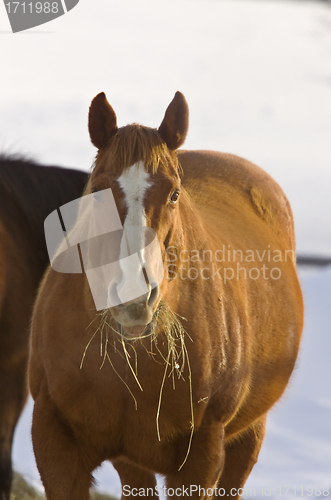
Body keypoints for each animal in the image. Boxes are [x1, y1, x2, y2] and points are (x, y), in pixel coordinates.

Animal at [28, 91, 304, 500]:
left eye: (174, 194)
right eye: (96, 193)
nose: (133, 297)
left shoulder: (201, 454)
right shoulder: (54, 439)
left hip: (247, 436)